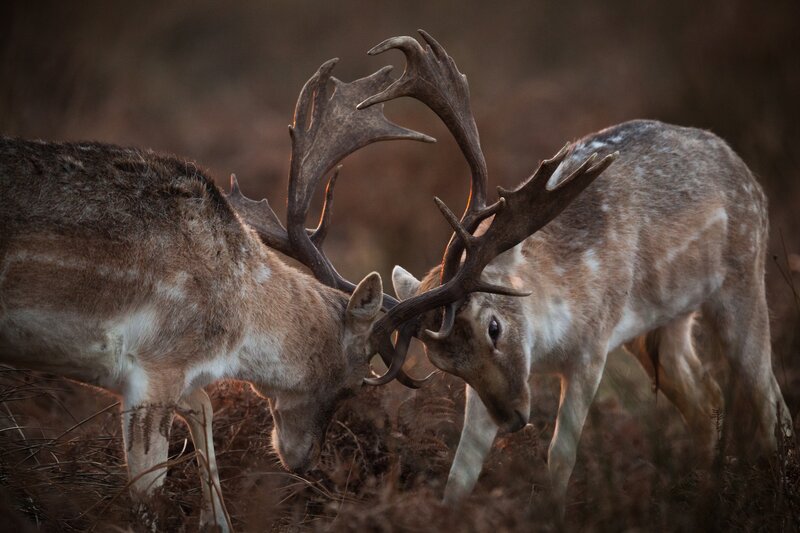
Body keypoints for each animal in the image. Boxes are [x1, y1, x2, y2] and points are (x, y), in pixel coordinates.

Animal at [0, 55, 447, 530]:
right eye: (354, 384)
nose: (305, 461)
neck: (235, 325)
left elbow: (204, 410)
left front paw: (215, 517)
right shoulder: (155, 367)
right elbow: (147, 492)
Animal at [349, 31, 794, 507]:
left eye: (493, 326)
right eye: (443, 363)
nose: (514, 419)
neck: (548, 340)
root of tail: (744, 169)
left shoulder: (592, 349)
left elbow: (560, 456)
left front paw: (555, 510)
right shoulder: (490, 390)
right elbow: (460, 471)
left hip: (743, 277)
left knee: (771, 399)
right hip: (659, 327)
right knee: (706, 396)